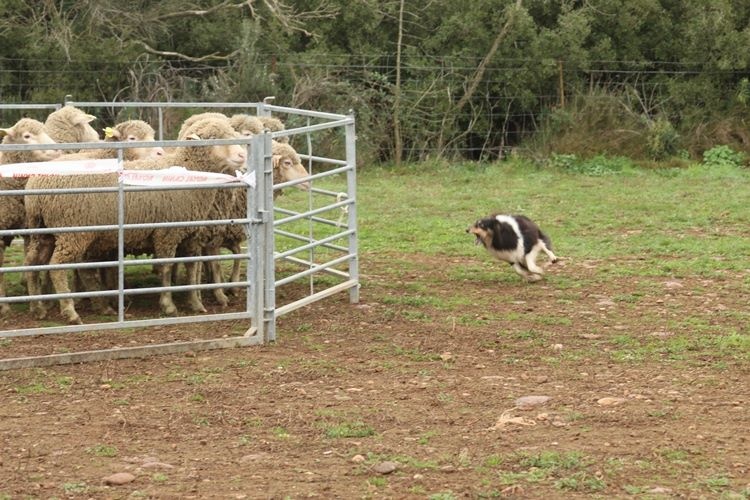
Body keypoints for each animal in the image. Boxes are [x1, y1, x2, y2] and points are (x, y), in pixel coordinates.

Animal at [0, 119, 61, 314]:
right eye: (26, 136)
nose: (57, 149)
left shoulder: (29, 228)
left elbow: (31, 262)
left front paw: (37, 303)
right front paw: (4, 306)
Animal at [22, 117, 247, 324]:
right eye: (214, 138)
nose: (242, 155)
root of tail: (37, 184)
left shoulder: (190, 234)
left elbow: (192, 269)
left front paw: (196, 303)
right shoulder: (166, 233)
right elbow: (166, 267)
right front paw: (168, 305)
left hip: (45, 231)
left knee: (35, 262)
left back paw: (39, 308)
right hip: (74, 232)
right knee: (57, 266)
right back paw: (70, 311)